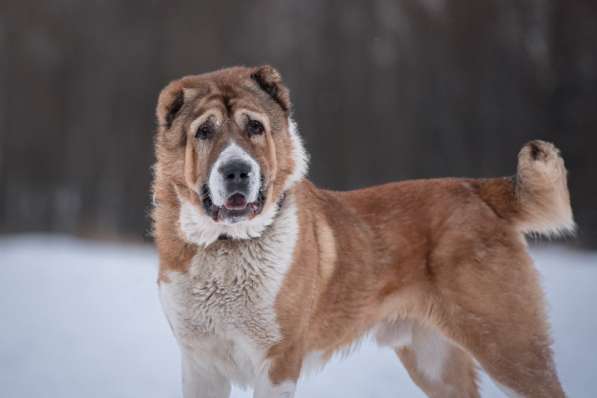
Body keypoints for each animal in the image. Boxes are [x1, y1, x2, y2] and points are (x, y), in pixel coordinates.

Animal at [152, 66, 572, 398]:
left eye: (254, 127)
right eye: (204, 131)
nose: (237, 170)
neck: (226, 248)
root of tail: (478, 188)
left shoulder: (277, 364)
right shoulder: (201, 365)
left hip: (511, 349)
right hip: (435, 363)